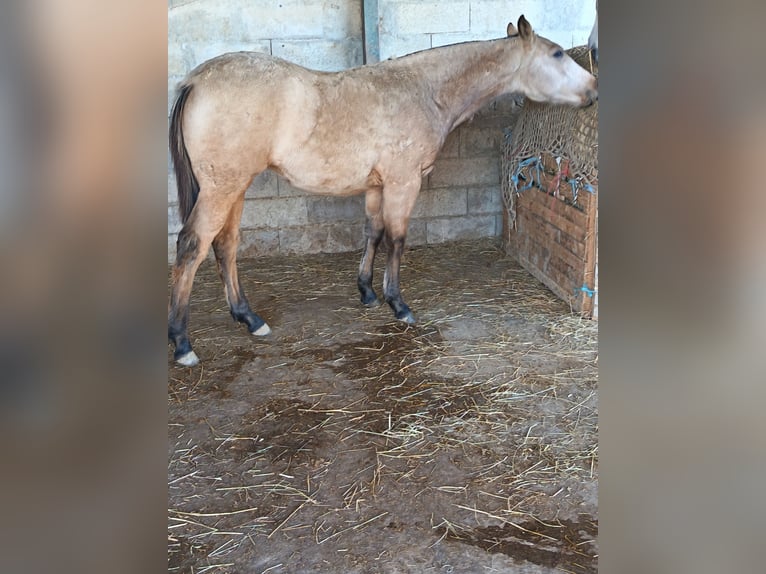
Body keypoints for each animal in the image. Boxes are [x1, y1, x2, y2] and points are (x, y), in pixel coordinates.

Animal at [168, 15, 598, 366]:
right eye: (557, 53)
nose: (594, 88)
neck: (424, 92)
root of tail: (196, 80)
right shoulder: (403, 181)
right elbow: (397, 239)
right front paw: (399, 304)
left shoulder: (377, 186)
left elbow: (373, 233)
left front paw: (367, 292)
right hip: (222, 188)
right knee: (192, 245)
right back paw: (182, 343)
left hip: (235, 187)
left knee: (225, 245)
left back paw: (248, 317)